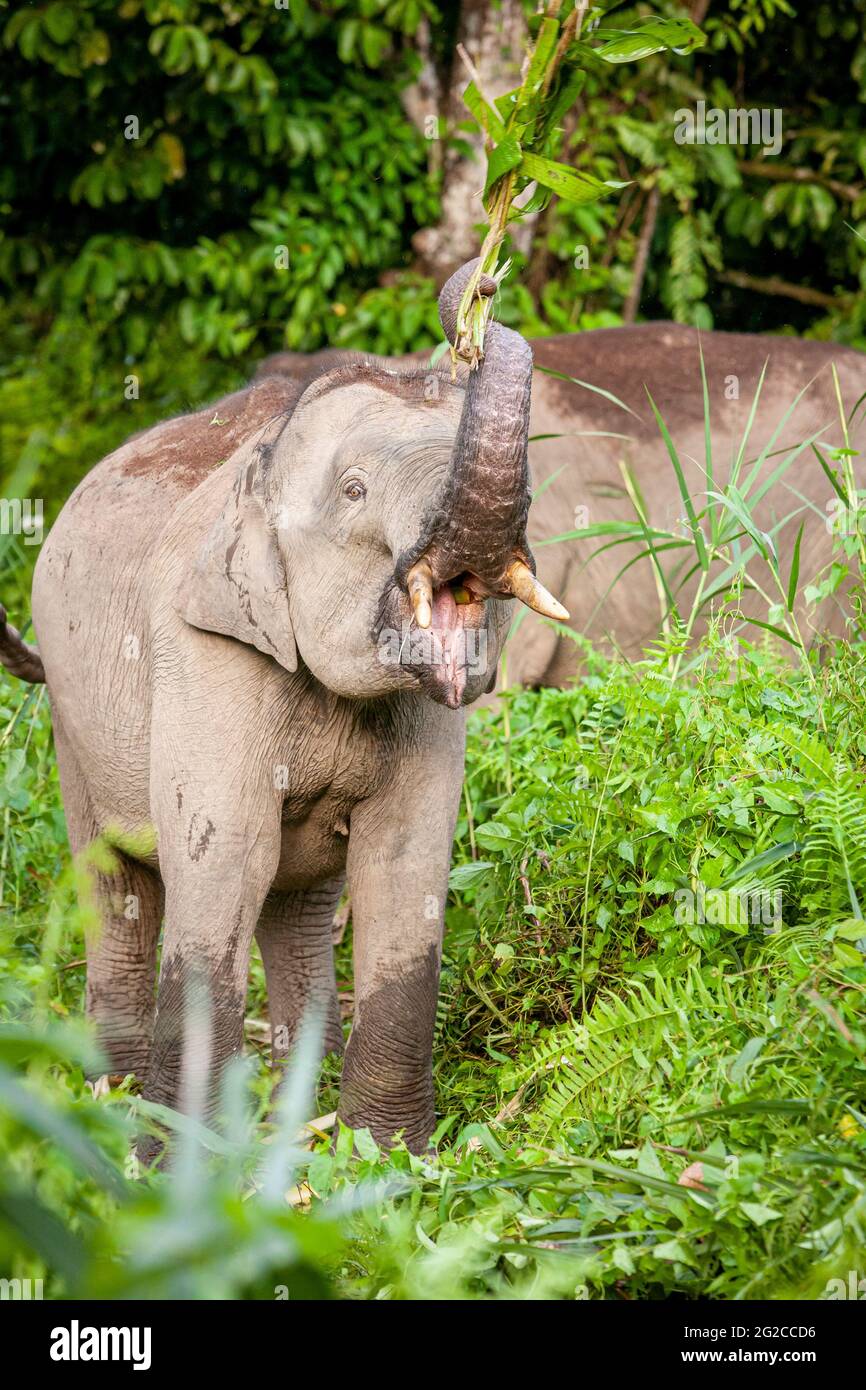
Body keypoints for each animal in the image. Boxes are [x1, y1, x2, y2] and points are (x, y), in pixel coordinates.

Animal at [0, 261, 569, 1150]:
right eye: (355, 490)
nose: (481, 285)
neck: (262, 469)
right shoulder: (203, 649)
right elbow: (223, 856)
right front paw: (179, 1161)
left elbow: (404, 862)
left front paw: (385, 1155)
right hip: (70, 708)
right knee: (117, 881)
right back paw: (113, 1091)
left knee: (297, 905)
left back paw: (300, 1102)